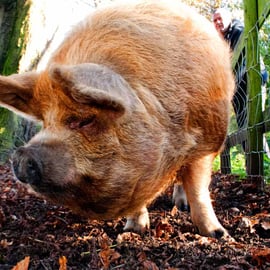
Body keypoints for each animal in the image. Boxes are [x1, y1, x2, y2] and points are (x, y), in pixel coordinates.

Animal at [0, 0, 234, 237]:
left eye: (85, 120)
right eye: (46, 123)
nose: (22, 153)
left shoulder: (206, 142)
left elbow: (198, 189)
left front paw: (217, 234)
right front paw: (134, 230)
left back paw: (183, 207)